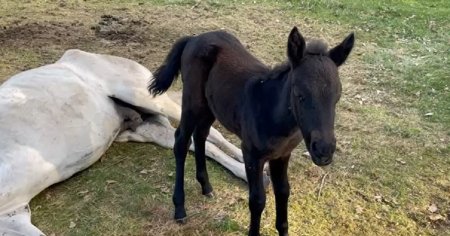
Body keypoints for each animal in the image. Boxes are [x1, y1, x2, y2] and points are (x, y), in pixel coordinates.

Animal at [151, 26, 356, 235]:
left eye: (337, 96)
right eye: (300, 95)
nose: (324, 151)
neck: (271, 112)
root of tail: (194, 38)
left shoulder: (282, 155)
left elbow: (283, 191)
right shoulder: (251, 155)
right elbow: (257, 200)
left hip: (211, 106)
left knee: (200, 135)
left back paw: (206, 187)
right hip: (192, 102)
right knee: (181, 142)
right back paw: (179, 208)